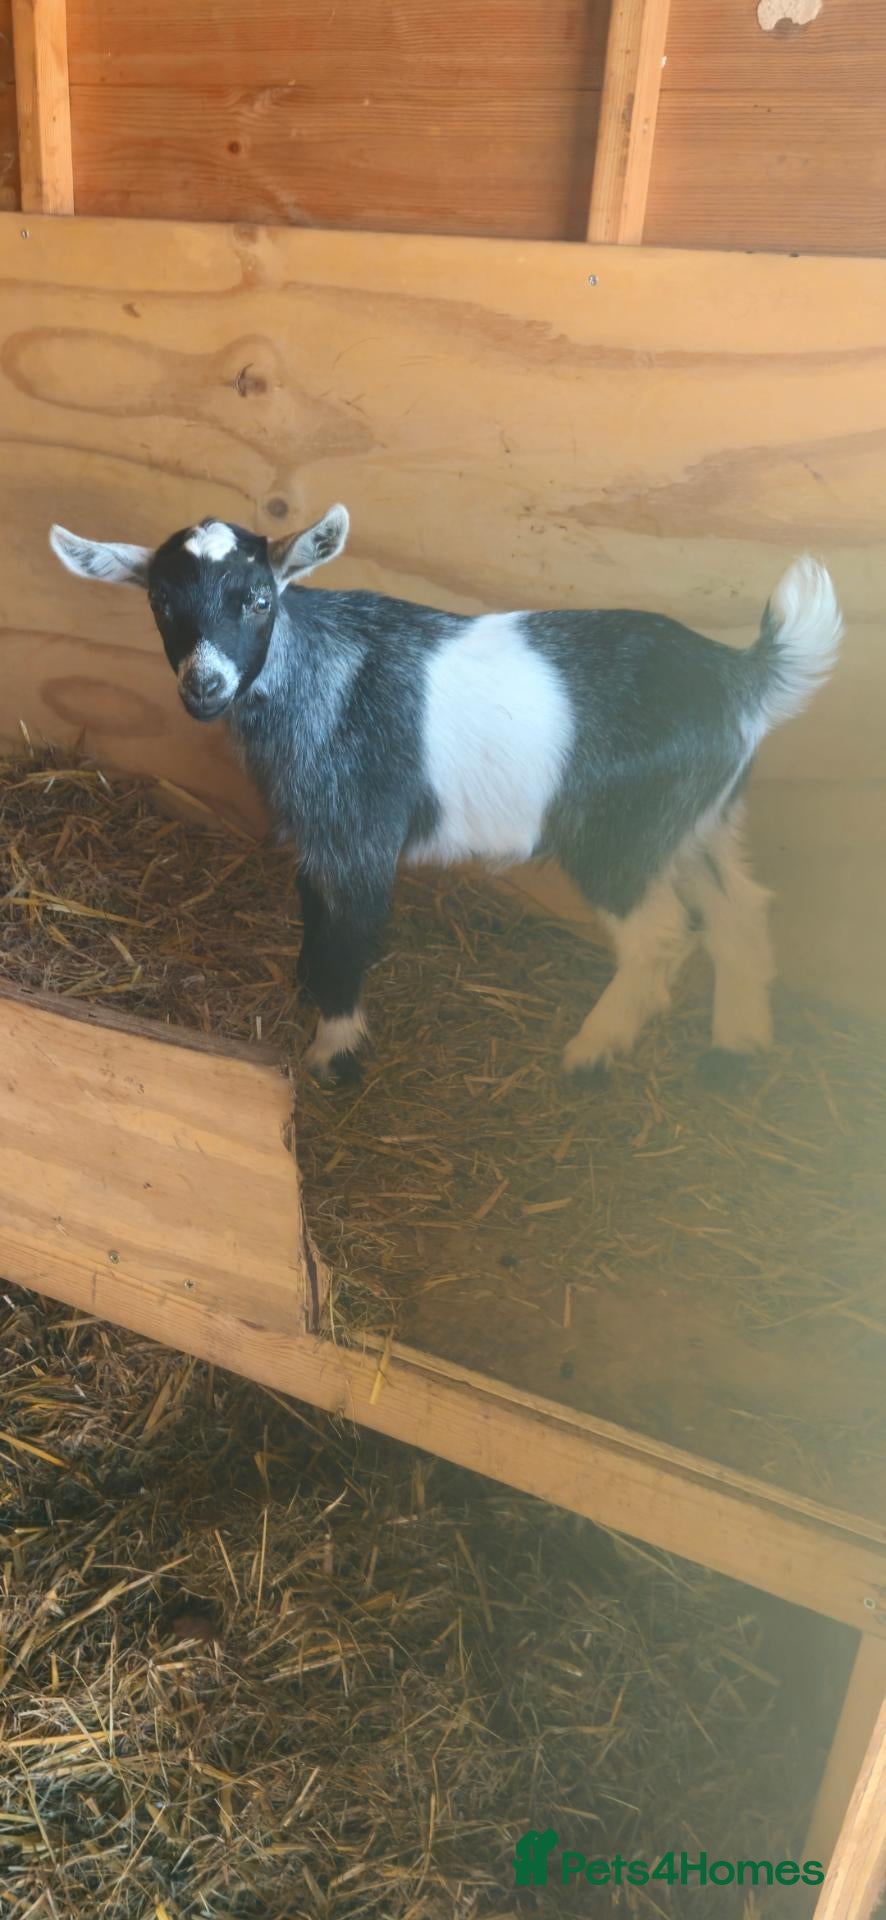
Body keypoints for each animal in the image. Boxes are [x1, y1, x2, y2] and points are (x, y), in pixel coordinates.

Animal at [49, 509, 843, 1086]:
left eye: (259, 598)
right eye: (160, 602)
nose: (204, 684)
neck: (320, 677)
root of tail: (745, 677)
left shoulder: (364, 832)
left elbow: (353, 933)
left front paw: (335, 1053)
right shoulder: (320, 833)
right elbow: (314, 910)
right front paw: (307, 988)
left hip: (622, 834)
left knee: (663, 935)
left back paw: (591, 1054)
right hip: (699, 818)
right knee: (739, 907)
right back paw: (737, 1047)